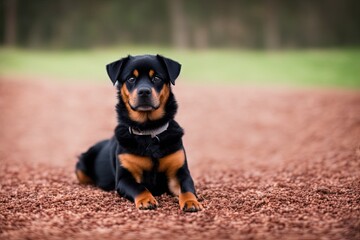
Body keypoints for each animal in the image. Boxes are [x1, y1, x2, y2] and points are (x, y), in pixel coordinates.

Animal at [75, 54, 202, 212]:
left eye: (156, 78)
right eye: (131, 78)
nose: (144, 91)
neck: (149, 130)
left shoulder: (179, 172)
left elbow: (187, 188)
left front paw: (191, 202)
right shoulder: (125, 177)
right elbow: (139, 187)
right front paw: (146, 200)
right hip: (81, 167)